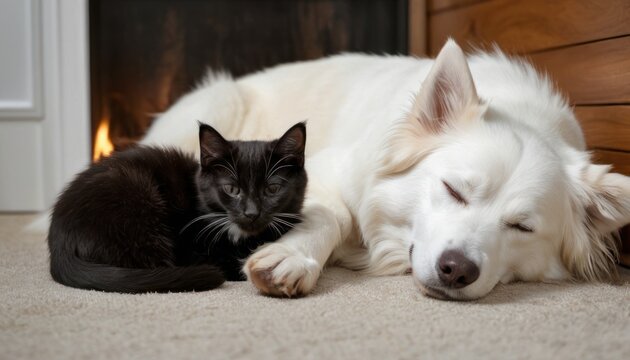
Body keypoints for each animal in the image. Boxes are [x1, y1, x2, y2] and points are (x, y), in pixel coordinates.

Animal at [143, 39, 630, 300]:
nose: (457, 270)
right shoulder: (322, 171)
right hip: (221, 100)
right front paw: (292, 257)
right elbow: (333, 216)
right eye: (453, 190)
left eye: (522, 227)